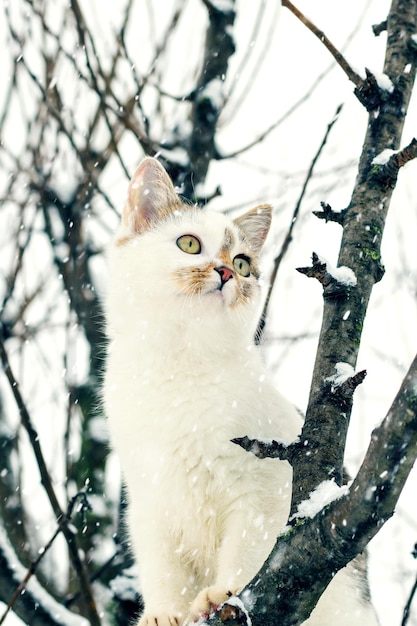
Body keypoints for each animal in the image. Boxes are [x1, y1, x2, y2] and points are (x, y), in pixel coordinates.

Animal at [103, 157, 376, 624]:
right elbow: (162, 567)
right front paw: (164, 613)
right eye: (189, 244)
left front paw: (222, 594)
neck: (179, 369)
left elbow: (248, 552)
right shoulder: (150, 502)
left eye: (244, 263)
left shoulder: (262, 492)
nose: (227, 272)